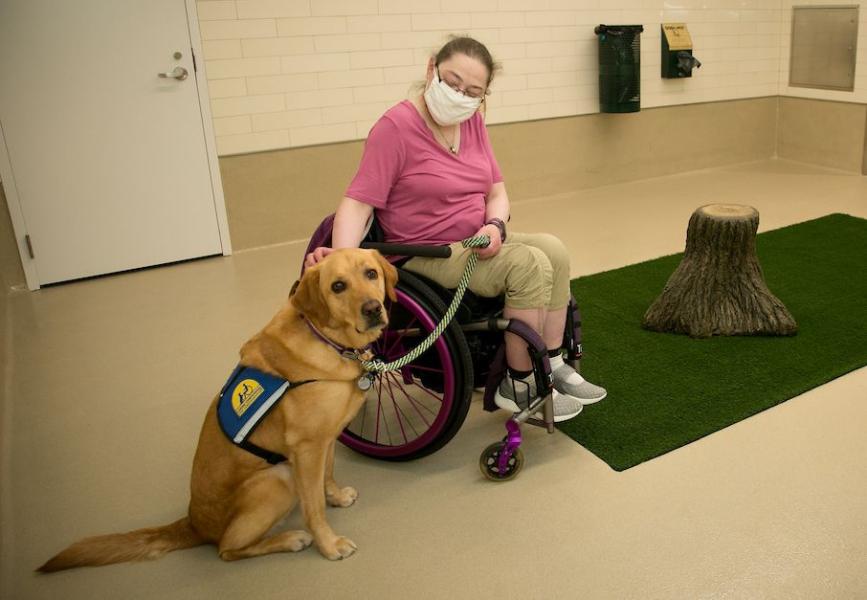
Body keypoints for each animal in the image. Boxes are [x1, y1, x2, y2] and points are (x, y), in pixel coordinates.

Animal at [38, 248, 396, 572]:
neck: (327, 339)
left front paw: (336, 495)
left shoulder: (324, 440)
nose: (373, 308)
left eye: (371, 274)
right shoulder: (306, 448)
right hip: (278, 479)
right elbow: (314, 507)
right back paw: (290, 539)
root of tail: (192, 523)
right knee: (227, 549)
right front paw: (329, 544)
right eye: (338, 286)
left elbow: (328, 474)